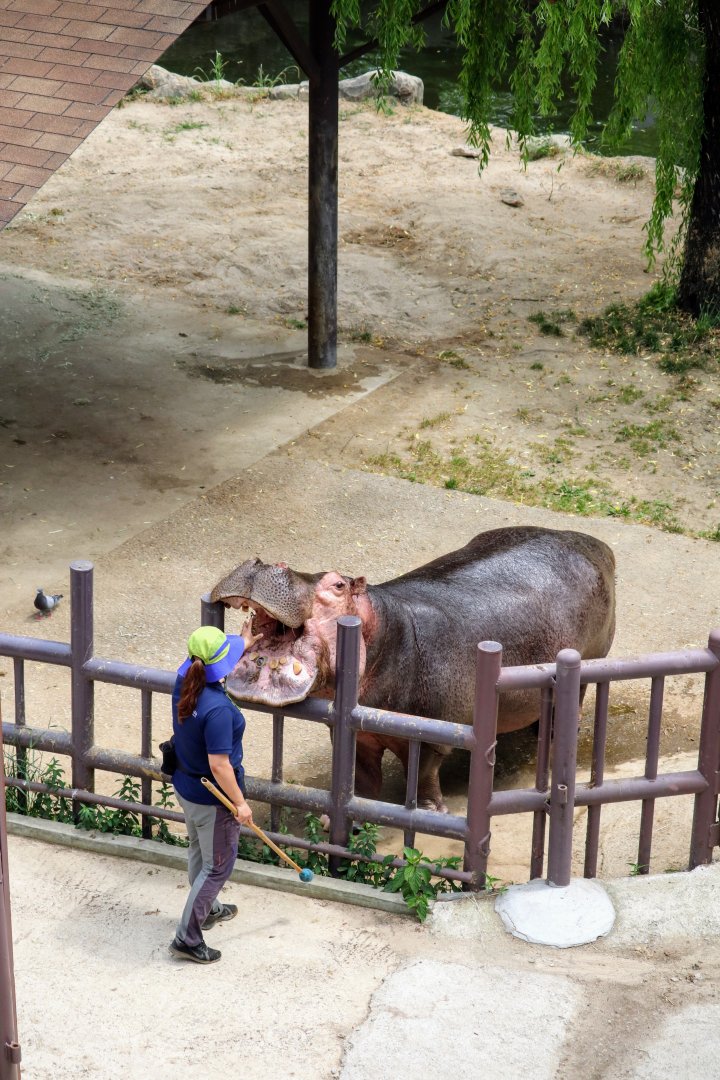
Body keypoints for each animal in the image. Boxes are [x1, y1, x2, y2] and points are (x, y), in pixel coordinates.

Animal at [211, 526, 616, 812]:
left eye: (338, 584)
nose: (266, 564)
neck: (383, 627)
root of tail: (594, 544)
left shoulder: (433, 735)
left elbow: (421, 775)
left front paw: (429, 810)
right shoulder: (354, 731)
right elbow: (362, 778)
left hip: (587, 662)